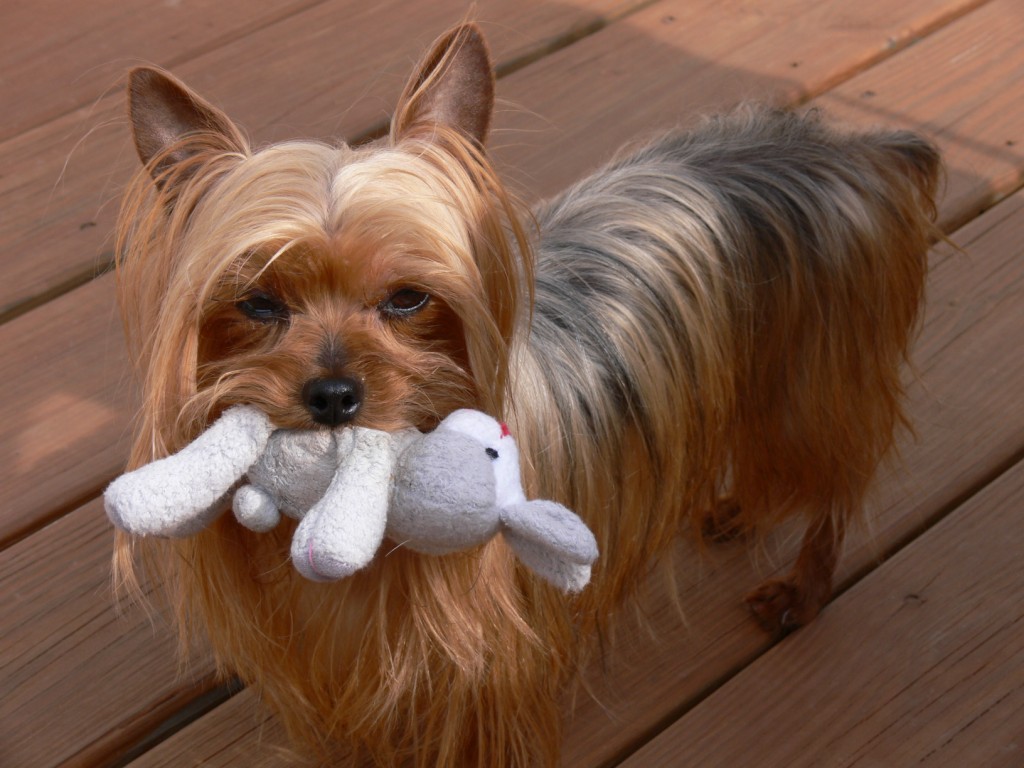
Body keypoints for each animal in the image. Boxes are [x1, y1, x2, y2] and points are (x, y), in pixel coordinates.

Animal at [110, 24, 937, 768]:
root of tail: (852, 149)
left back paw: (802, 587)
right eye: (257, 304)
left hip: (812, 378)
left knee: (834, 479)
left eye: (409, 299)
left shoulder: (488, 674)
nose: (335, 395)